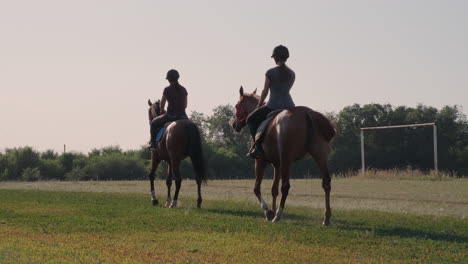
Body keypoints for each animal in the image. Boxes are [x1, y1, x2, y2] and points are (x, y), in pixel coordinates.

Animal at [231, 86, 334, 225]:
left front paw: (269, 212)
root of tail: (306, 113)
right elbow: (274, 189)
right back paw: (326, 218)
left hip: (287, 158)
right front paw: (272, 210)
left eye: (237, 105)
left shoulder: (260, 161)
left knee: (285, 186)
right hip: (319, 154)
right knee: (326, 182)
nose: (234, 125)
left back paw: (278, 215)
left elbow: (257, 188)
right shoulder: (277, 164)